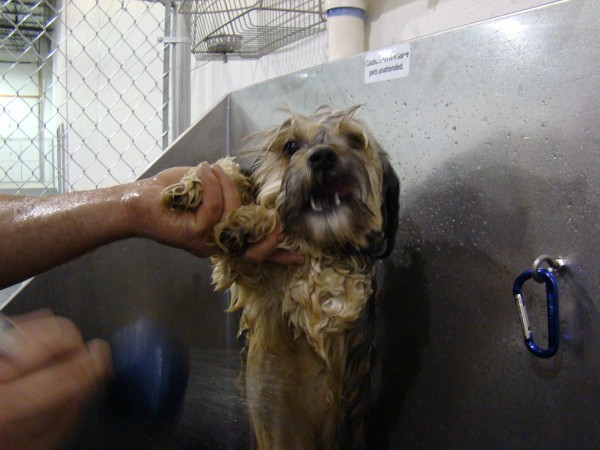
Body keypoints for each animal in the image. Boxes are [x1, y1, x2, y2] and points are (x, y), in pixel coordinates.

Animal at [162, 106, 400, 450]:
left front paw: (254, 219)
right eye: (291, 146)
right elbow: (230, 173)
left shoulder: (330, 297)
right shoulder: (248, 272)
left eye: (355, 141)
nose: (322, 156)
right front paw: (195, 188)